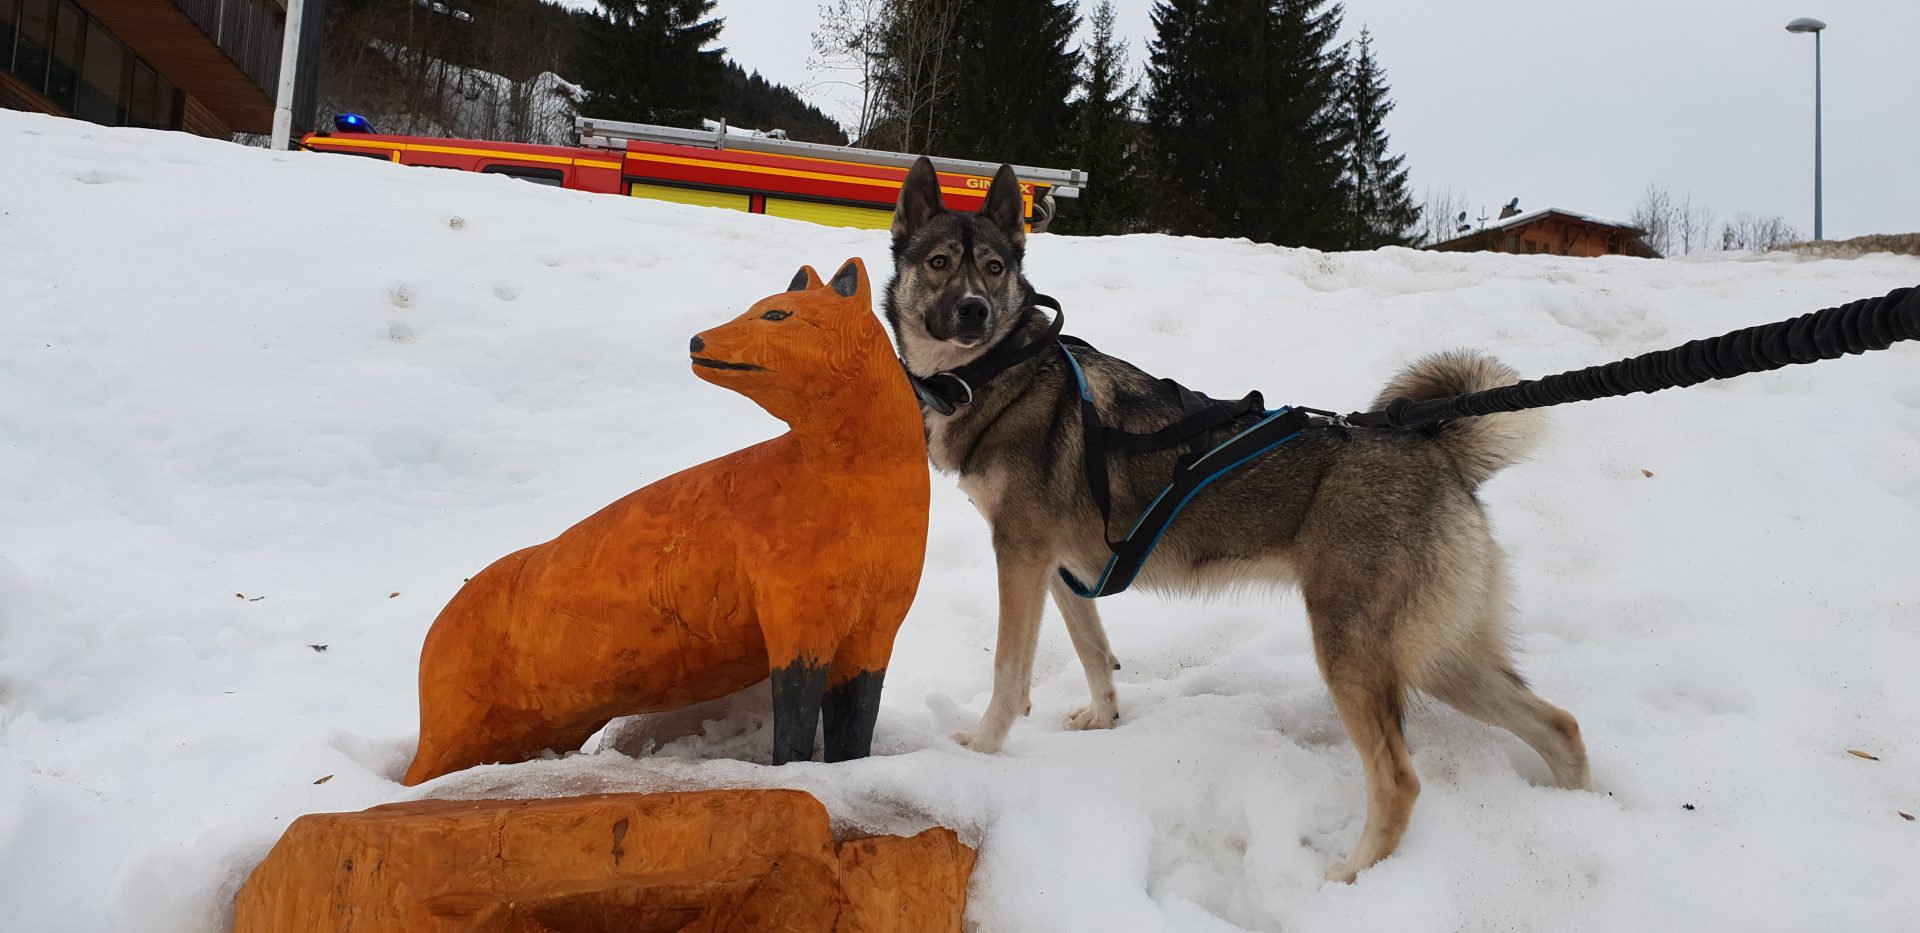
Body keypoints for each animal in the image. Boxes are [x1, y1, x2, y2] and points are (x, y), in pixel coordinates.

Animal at [883, 156, 1589, 879]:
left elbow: (1009, 672)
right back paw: (1581, 813)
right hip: (1442, 655)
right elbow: (1095, 653)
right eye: (939, 262)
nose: (974, 310)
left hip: (1355, 652)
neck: (1000, 373)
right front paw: (1103, 724)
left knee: (1400, 780)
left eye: (994, 268)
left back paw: (1348, 876)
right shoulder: (1058, 567)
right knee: (1561, 728)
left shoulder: (1020, 556)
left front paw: (980, 751)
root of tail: (1439, 449)